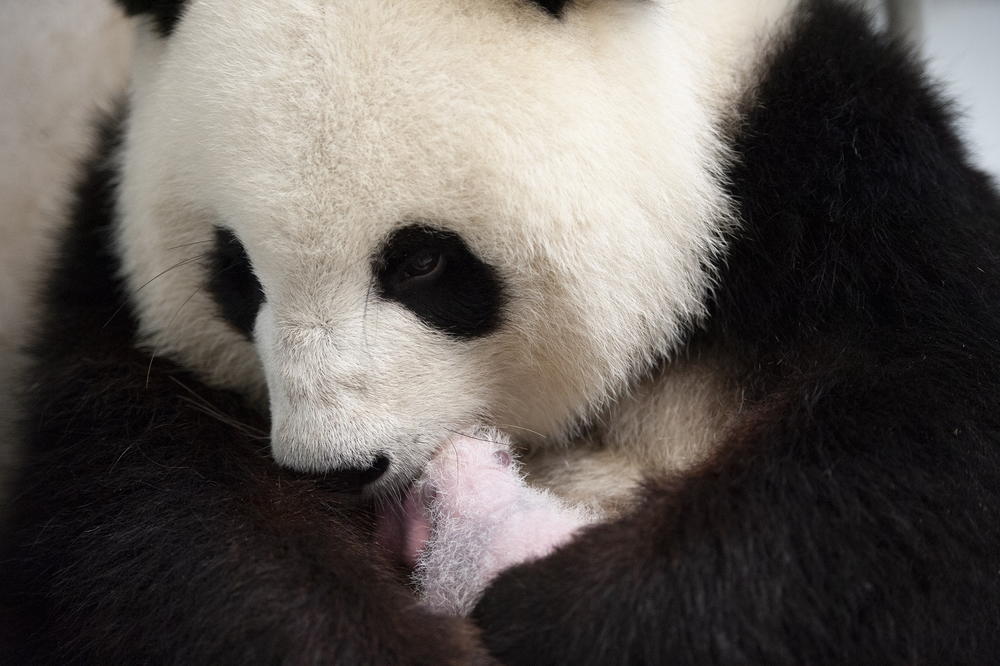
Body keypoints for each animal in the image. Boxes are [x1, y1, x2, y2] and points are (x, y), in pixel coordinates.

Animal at [1, 0, 1000, 660]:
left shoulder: (841, 183)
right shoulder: (99, 277)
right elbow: (152, 511)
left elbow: (908, 463)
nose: (337, 468)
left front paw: (547, 612)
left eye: (421, 263)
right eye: (236, 273)